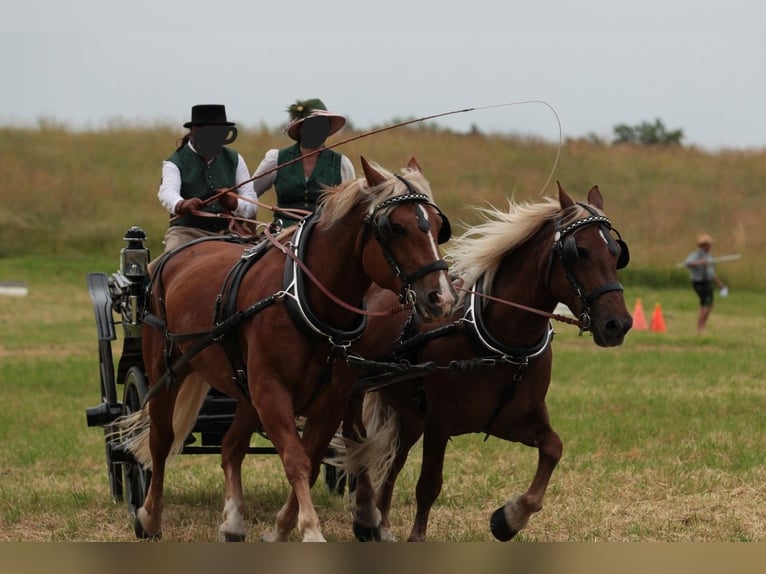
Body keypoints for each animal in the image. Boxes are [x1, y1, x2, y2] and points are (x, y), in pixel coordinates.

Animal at [112, 159, 456, 544]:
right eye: (395, 227)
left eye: (438, 226)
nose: (442, 298)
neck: (307, 299)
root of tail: (175, 256)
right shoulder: (272, 392)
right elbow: (296, 459)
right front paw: (310, 530)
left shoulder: (330, 400)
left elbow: (313, 458)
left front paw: (280, 529)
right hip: (166, 371)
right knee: (160, 439)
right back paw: (149, 517)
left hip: (244, 388)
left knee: (231, 446)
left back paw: (233, 523)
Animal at [340, 182, 632, 544]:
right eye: (580, 251)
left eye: (616, 254)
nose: (618, 324)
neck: (504, 342)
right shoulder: (440, 419)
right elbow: (429, 484)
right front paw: (418, 537)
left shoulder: (513, 417)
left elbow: (553, 448)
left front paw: (509, 518)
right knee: (357, 440)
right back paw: (366, 515)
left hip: (409, 414)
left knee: (394, 460)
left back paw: (380, 523)